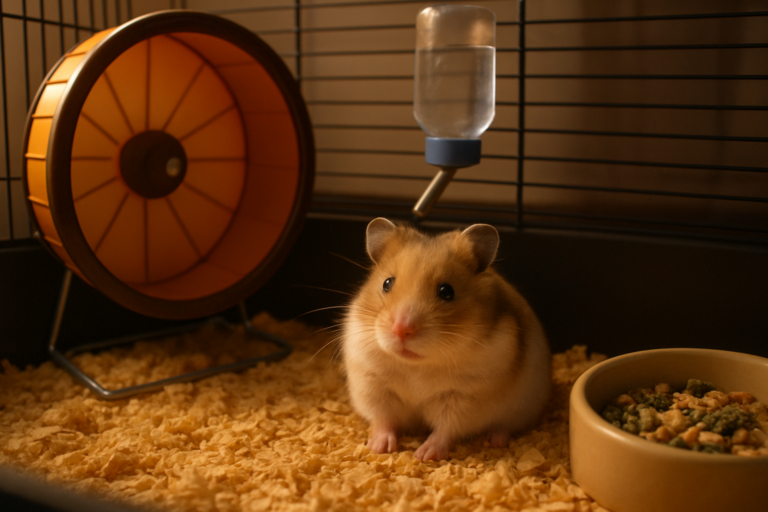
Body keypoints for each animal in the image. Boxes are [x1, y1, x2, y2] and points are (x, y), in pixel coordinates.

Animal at [342, 218, 551, 462]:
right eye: (386, 283)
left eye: (446, 291)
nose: (401, 329)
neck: (417, 365)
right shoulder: (373, 387)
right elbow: (384, 419)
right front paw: (378, 448)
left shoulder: (464, 399)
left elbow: (445, 429)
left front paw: (424, 455)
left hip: (520, 409)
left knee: (504, 426)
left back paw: (495, 441)